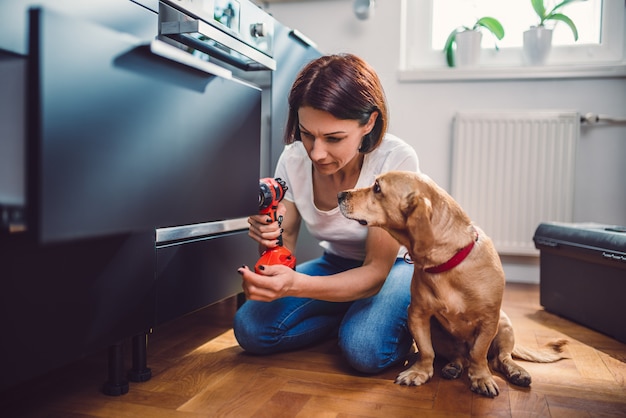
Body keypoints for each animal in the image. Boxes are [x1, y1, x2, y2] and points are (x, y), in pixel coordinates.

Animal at [336, 171, 564, 396]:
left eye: (377, 188)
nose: (339, 194)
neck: (448, 262)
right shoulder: (417, 314)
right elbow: (426, 351)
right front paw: (419, 372)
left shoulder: (489, 321)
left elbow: (479, 354)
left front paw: (481, 378)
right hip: (440, 334)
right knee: (460, 356)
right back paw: (453, 366)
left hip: (504, 325)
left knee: (500, 358)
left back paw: (516, 371)